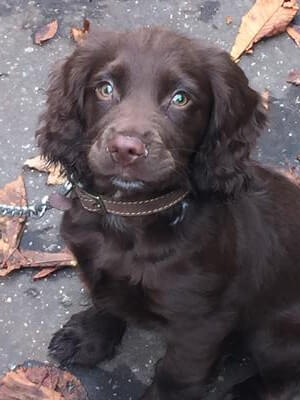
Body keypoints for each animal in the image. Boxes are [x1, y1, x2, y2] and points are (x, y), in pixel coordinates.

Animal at [37, 28, 300, 400]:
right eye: (105, 88)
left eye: (180, 99)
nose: (125, 149)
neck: (130, 215)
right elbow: (104, 301)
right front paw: (87, 338)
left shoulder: (200, 324)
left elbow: (176, 377)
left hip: (275, 333)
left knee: (285, 379)